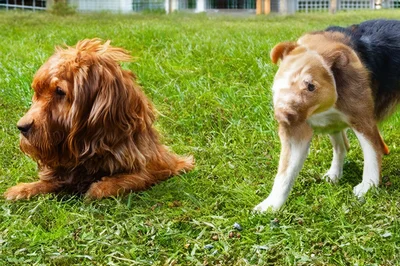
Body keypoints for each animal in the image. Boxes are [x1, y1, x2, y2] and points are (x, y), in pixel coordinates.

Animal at [3, 38, 195, 201]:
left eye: (59, 91)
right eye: (37, 92)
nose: (21, 127)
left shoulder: (164, 163)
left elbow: (138, 176)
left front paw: (101, 187)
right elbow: (49, 181)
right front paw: (23, 189)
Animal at [255, 19, 398, 212]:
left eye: (311, 86)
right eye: (281, 79)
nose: (282, 116)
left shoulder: (362, 118)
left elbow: (372, 152)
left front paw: (367, 188)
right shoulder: (297, 130)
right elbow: (286, 172)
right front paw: (269, 206)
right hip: (333, 127)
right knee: (341, 146)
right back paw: (334, 174)